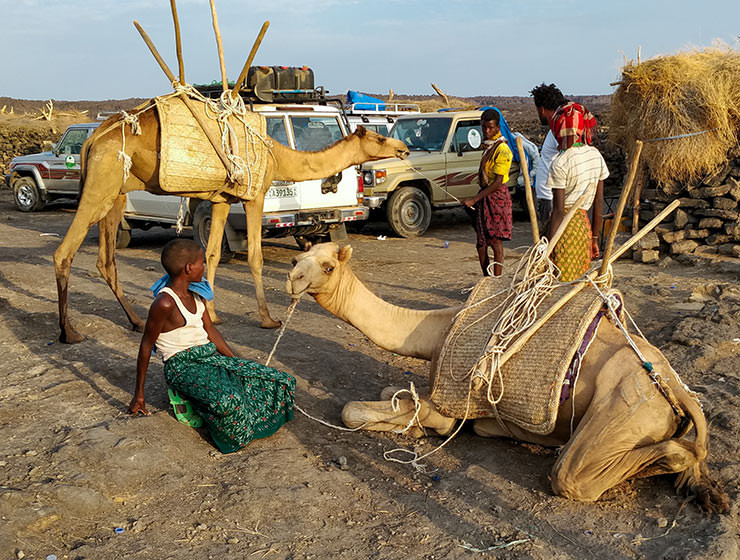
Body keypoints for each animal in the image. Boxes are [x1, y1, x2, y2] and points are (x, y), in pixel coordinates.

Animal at [53, 106, 408, 343]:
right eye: (379, 137)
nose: (403, 149)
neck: (278, 155)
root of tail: (92, 139)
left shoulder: (222, 199)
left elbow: (210, 255)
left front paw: (211, 312)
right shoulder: (255, 196)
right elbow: (254, 256)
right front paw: (268, 319)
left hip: (116, 192)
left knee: (105, 260)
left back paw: (137, 320)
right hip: (102, 181)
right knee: (64, 252)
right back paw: (69, 331)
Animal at [286, 242, 729, 512]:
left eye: (327, 265)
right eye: (296, 259)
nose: (293, 280)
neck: (437, 330)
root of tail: (676, 390)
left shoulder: (450, 404)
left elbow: (353, 410)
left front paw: (410, 427)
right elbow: (390, 393)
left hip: (627, 405)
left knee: (571, 476)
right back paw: (703, 488)